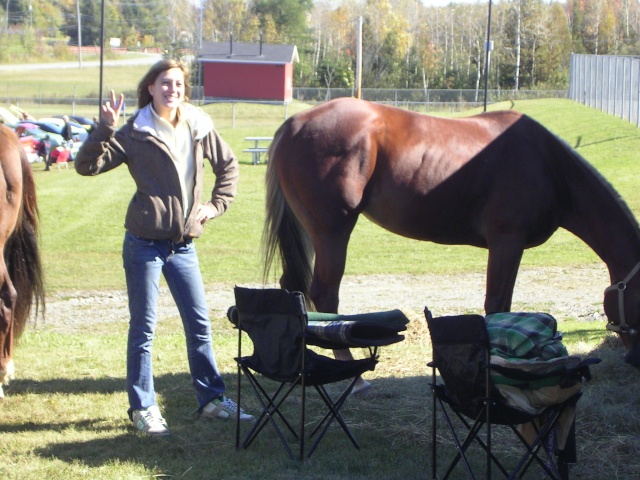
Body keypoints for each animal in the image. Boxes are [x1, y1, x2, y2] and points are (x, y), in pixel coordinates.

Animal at [262, 98, 640, 368]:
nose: (632, 358)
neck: (547, 164)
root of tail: (294, 125)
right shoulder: (507, 241)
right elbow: (496, 305)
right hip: (332, 230)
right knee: (324, 294)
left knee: (294, 288)